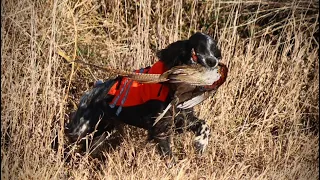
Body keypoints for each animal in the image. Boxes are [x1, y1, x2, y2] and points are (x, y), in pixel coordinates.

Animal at [66, 32, 221, 160]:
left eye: (214, 50)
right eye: (198, 48)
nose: (213, 61)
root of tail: (90, 93)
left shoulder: (180, 119)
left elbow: (204, 124)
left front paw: (201, 143)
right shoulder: (159, 127)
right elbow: (169, 156)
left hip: (102, 132)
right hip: (82, 130)